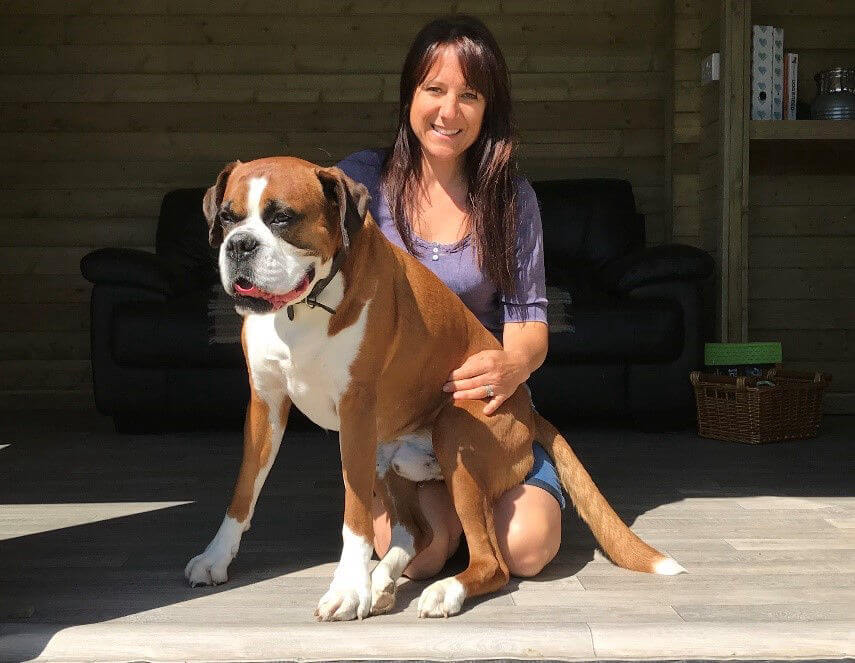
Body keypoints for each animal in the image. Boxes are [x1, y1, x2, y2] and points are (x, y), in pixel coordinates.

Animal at [184, 157, 684, 624]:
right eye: (227, 217)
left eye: (282, 218)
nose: (239, 245)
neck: (304, 307)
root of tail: (528, 410)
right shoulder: (265, 408)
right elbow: (243, 491)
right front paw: (215, 558)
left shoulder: (356, 414)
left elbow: (354, 520)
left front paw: (346, 591)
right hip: (386, 460)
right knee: (415, 532)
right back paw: (383, 582)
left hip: (453, 433)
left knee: (491, 562)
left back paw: (442, 591)